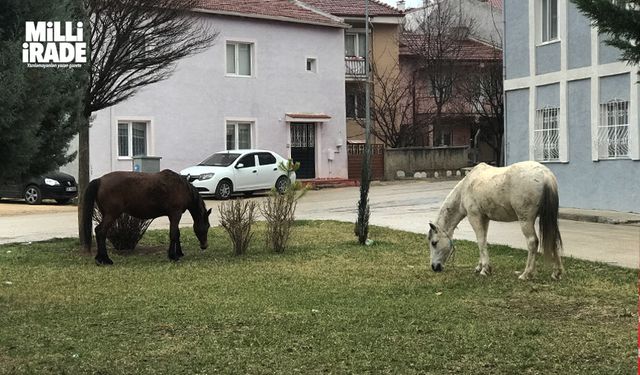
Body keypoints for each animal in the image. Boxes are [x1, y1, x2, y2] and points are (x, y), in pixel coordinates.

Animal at [81, 169, 211, 266]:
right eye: (207, 226)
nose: (204, 246)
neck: (181, 187)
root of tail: (100, 180)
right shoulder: (175, 214)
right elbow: (173, 234)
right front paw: (173, 256)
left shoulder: (174, 216)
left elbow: (177, 234)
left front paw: (178, 253)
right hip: (111, 214)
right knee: (100, 231)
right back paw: (105, 260)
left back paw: (100, 258)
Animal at [428, 160, 564, 280]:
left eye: (434, 243)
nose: (434, 267)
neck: (465, 188)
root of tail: (546, 176)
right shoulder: (485, 219)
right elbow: (483, 241)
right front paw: (480, 266)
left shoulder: (475, 217)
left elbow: (480, 241)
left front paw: (484, 270)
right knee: (553, 239)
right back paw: (556, 273)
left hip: (525, 220)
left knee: (532, 242)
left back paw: (526, 274)